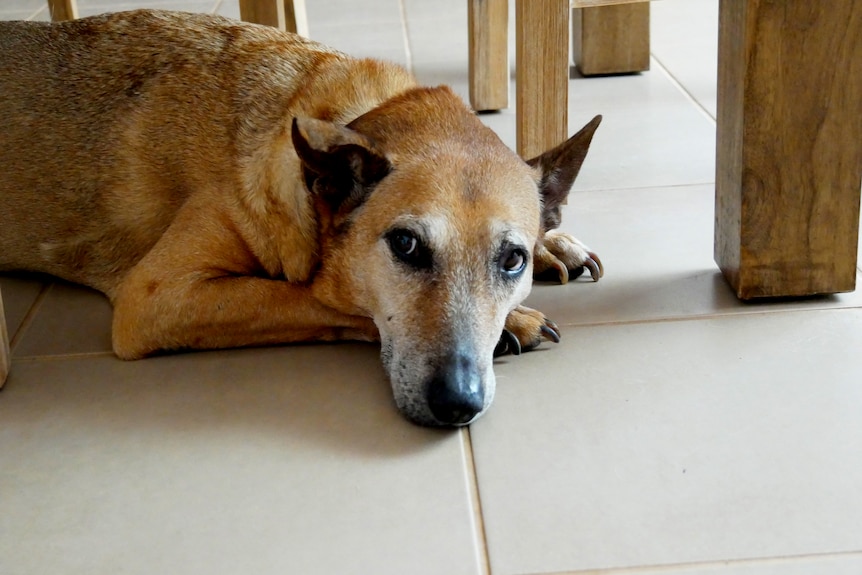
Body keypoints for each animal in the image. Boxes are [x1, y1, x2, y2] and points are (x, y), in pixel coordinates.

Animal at [0, 9, 600, 428]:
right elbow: (307, 297)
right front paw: (513, 325)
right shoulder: (155, 296)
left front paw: (551, 244)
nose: (458, 404)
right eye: (405, 245)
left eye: (513, 260)